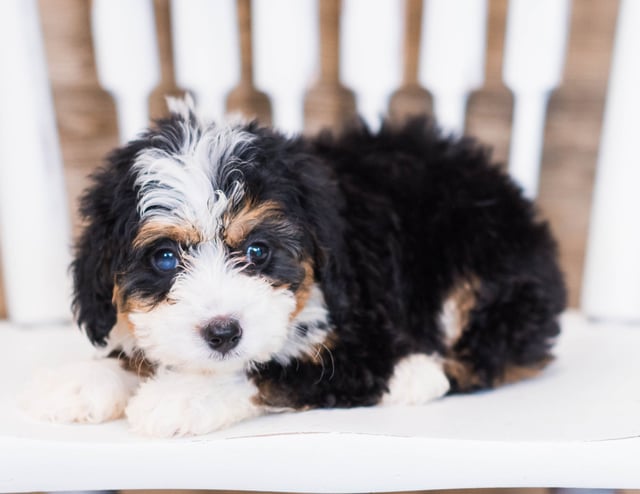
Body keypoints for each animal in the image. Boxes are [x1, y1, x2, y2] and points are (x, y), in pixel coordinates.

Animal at [21, 99, 564, 436]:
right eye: (165, 258)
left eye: (259, 251)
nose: (223, 333)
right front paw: (85, 380)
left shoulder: (364, 326)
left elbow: (272, 368)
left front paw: (184, 395)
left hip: (483, 262)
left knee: (486, 354)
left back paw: (419, 374)